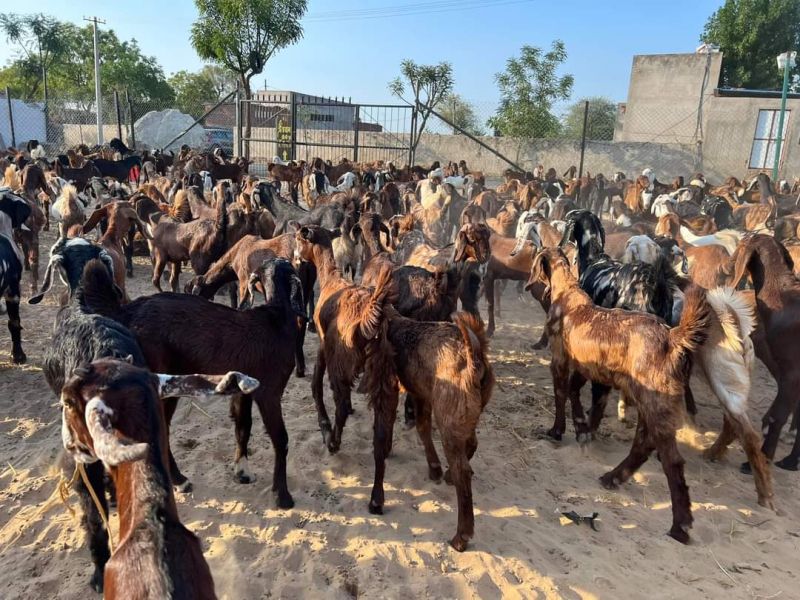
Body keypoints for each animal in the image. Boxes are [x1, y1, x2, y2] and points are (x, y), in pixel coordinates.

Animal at [528, 247, 708, 544]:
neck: (569, 295)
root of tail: (672, 338)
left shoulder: (560, 360)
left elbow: (561, 393)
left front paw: (557, 430)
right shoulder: (586, 368)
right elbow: (578, 396)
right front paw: (582, 429)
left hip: (655, 404)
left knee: (671, 461)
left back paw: (679, 525)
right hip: (649, 404)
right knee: (642, 445)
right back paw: (613, 477)